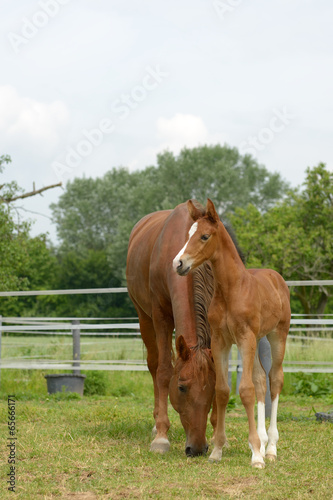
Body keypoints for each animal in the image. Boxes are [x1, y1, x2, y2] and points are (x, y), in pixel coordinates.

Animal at [172, 200, 290, 468]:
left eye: (204, 236)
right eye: (188, 234)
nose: (178, 264)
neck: (232, 289)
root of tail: (275, 276)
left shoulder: (245, 338)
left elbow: (245, 390)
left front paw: (256, 456)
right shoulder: (221, 341)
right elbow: (223, 391)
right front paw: (217, 450)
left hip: (277, 335)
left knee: (275, 379)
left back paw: (270, 448)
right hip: (257, 339)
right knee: (260, 380)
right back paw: (262, 441)